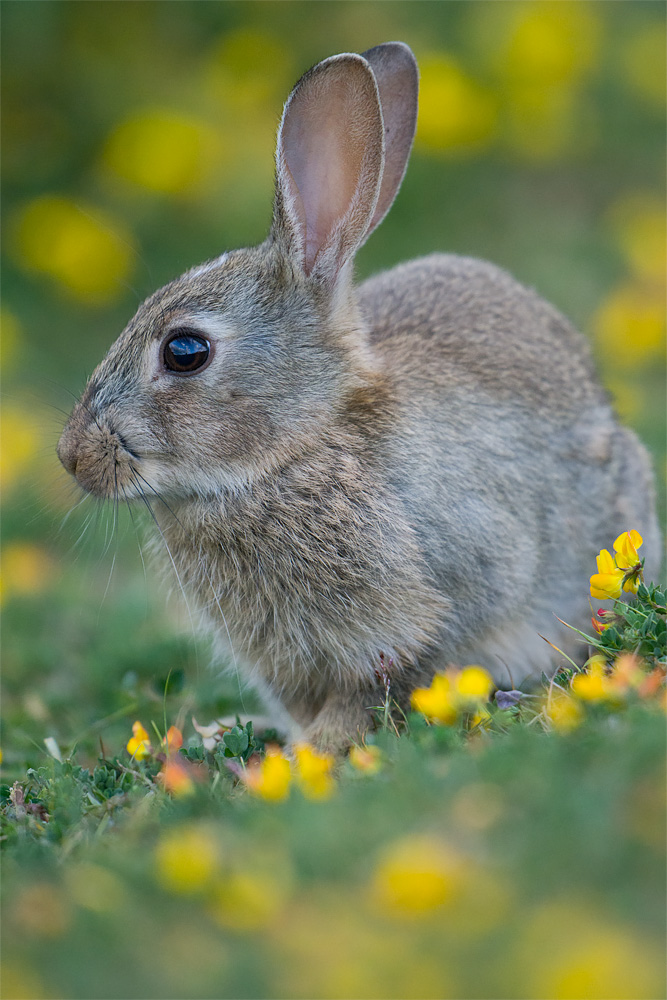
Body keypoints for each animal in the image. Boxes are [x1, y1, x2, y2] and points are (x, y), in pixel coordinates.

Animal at [58, 45, 664, 752]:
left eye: (185, 351)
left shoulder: (466, 581)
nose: (72, 456)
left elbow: (401, 672)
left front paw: (313, 753)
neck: (295, 451)